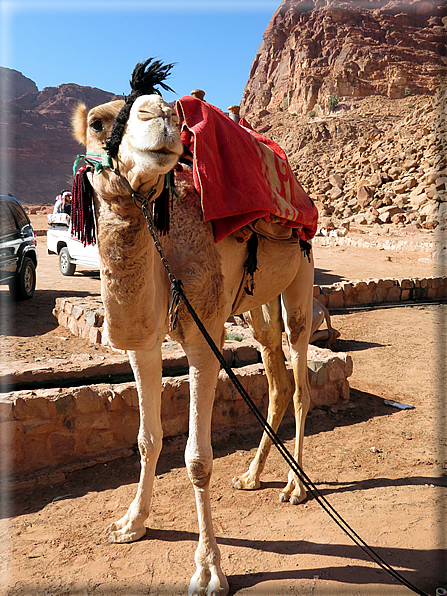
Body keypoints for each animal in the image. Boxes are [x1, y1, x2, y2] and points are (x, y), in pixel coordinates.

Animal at [71, 60, 316, 596]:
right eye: (97, 123)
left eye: (172, 115)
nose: (162, 114)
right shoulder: (142, 344)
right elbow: (147, 438)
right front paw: (130, 524)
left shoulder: (205, 335)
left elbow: (198, 460)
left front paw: (208, 570)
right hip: (254, 302)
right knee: (276, 376)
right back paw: (252, 476)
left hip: (302, 274)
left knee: (300, 371)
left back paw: (295, 486)